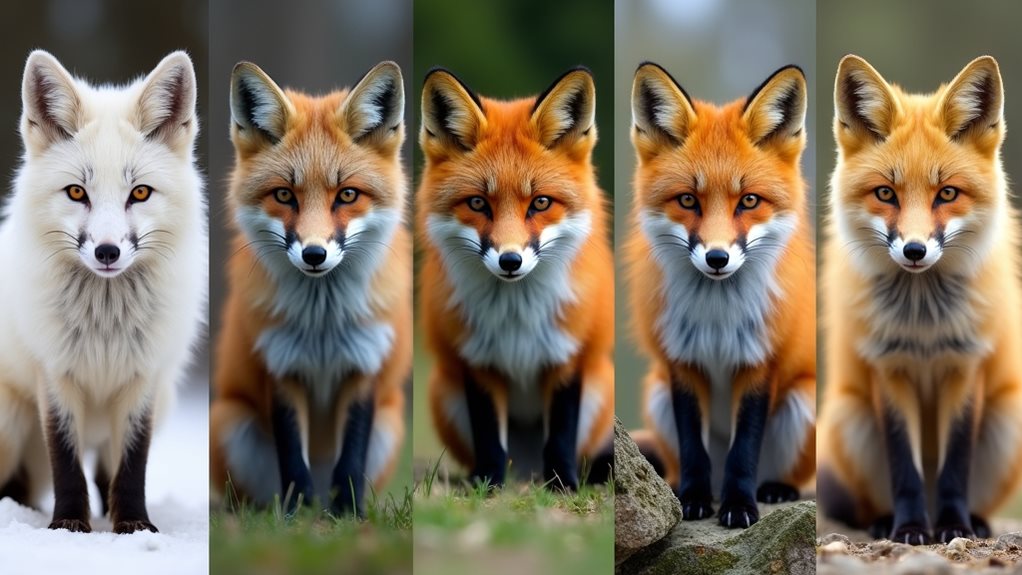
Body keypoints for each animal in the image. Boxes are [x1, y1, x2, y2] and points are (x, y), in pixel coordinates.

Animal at [0, 50, 206, 533]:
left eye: (140, 192)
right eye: (77, 192)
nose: (107, 251)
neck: (105, 328)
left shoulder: (143, 378)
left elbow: (130, 465)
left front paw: (132, 524)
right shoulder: (54, 374)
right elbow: (65, 460)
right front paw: (68, 524)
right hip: (9, 425)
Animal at [209, 60, 411, 517]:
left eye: (347, 195)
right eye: (284, 195)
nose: (314, 254)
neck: (323, 323)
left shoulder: (366, 365)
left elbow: (351, 457)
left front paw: (349, 514)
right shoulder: (280, 365)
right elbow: (291, 457)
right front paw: (295, 515)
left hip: (390, 426)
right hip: (231, 423)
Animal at [416, 67, 615, 489]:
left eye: (540, 203)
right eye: (478, 203)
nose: (510, 261)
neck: (516, 316)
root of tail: (526, 469)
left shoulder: (568, 354)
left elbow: (561, 433)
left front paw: (563, 484)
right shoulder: (477, 360)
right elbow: (489, 434)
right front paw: (488, 484)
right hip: (443, 392)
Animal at [626, 62, 816, 528]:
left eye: (748, 201)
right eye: (687, 200)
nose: (717, 258)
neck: (717, 319)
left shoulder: (760, 361)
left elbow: (743, 449)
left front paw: (739, 506)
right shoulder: (681, 361)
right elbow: (693, 447)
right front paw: (694, 500)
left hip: (802, 402)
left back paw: (775, 490)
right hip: (655, 393)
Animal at [818, 55, 1022, 544]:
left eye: (946, 193)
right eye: (885, 193)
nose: (914, 250)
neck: (923, 322)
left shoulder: (966, 365)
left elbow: (955, 466)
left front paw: (953, 527)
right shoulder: (888, 367)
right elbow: (903, 467)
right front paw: (910, 529)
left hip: (1007, 421)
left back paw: (973, 521)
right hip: (852, 421)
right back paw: (885, 521)